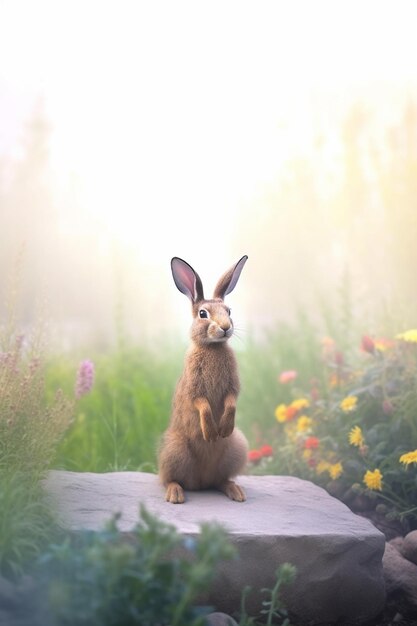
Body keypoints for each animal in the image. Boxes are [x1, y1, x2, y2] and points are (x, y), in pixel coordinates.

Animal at [158, 254, 249, 502]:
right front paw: (210, 433)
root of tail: (200, 482)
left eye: (229, 311)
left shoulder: (232, 387)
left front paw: (223, 429)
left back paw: (236, 492)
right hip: (175, 450)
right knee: (167, 479)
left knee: (220, 480)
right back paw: (175, 494)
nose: (226, 328)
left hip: (236, 448)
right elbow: (202, 404)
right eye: (202, 314)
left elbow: (231, 401)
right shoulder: (194, 388)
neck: (213, 347)